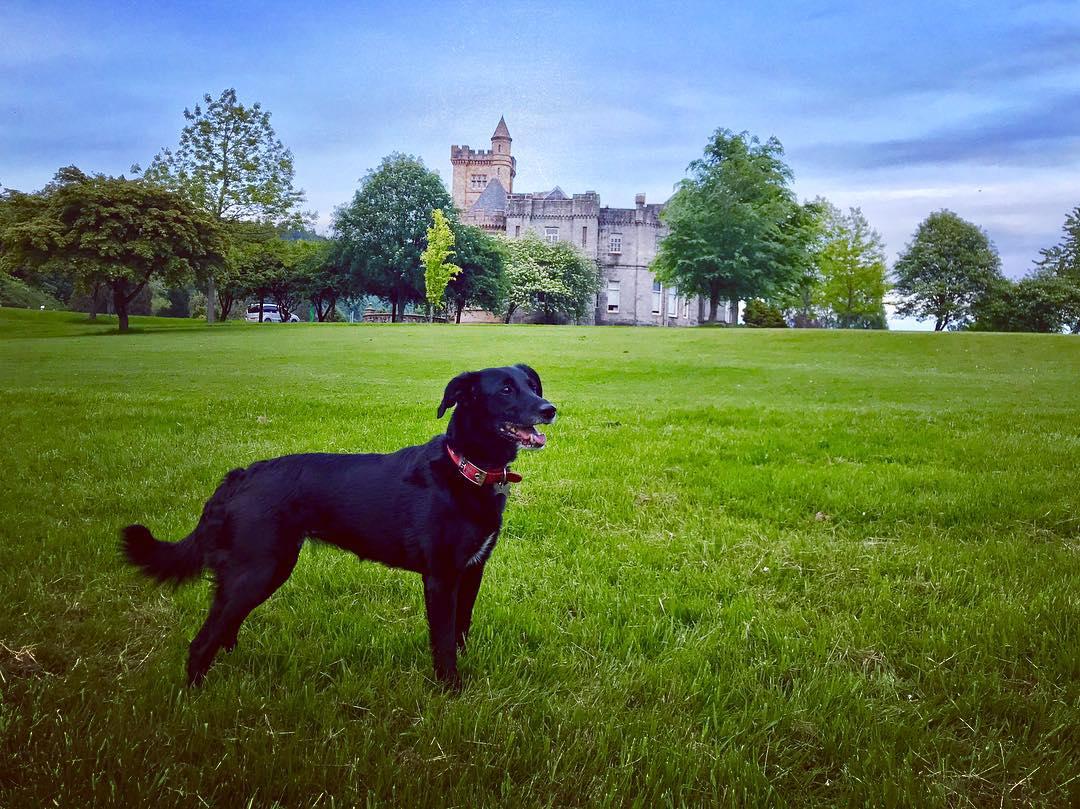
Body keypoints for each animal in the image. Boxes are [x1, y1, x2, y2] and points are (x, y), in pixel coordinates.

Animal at [122, 365, 552, 686]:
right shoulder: (440, 577)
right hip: (261, 569)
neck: (465, 468)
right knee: (201, 641)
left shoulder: (472, 569)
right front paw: (451, 690)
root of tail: (240, 475)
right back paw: (195, 696)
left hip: (257, 571)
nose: (550, 408)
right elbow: (444, 641)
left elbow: (462, 627)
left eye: (532, 385)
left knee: (223, 626)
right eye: (506, 389)